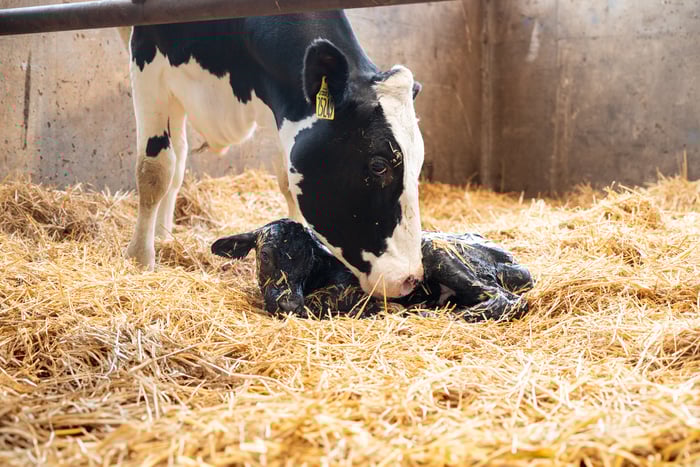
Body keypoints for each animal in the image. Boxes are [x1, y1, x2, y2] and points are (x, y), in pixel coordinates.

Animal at [119, 10, 425, 298]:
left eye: (419, 163)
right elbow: (154, 171)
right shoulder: (146, 60)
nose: (410, 279)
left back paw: (164, 234)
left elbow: (286, 184)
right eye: (378, 165)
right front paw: (139, 259)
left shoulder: (280, 104)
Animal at [210, 219, 535, 321]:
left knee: (507, 299)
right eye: (265, 254)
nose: (287, 302)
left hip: (438, 251)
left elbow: (321, 301)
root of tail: (512, 260)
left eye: (310, 259)